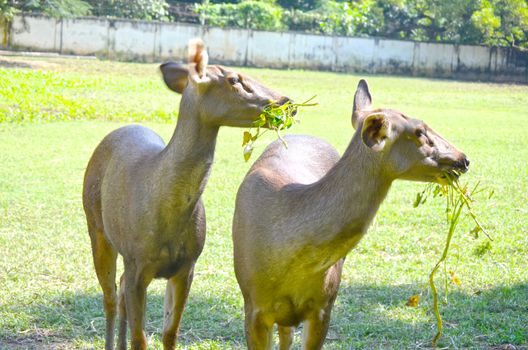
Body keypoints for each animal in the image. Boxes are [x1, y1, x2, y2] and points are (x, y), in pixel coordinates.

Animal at [81, 39, 292, 350]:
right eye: (234, 79)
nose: (285, 101)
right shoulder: (136, 261)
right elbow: (140, 338)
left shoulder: (187, 265)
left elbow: (170, 332)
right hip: (96, 226)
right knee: (108, 295)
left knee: (117, 290)